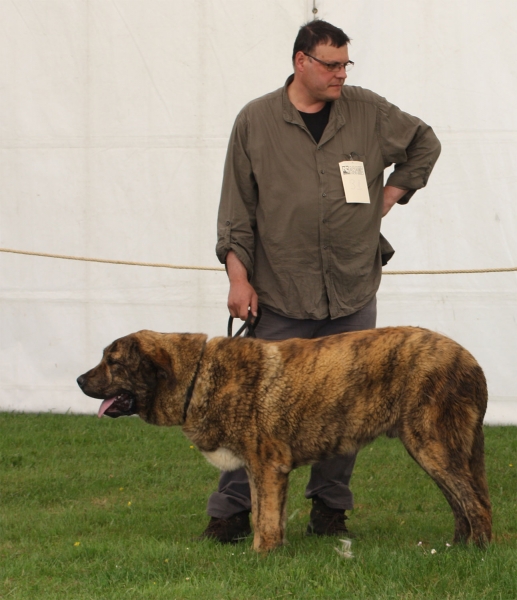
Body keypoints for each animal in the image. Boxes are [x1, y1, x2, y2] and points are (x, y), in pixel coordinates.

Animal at [77, 326, 492, 552]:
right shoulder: (261, 470)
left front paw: (261, 556)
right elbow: (264, 514)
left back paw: (477, 552)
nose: (79, 380)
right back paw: (457, 546)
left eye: (113, 363)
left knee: (476, 502)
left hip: (432, 445)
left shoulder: (267, 465)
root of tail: (471, 360)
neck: (198, 375)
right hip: (434, 449)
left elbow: (265, 519)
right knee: (460, 501)